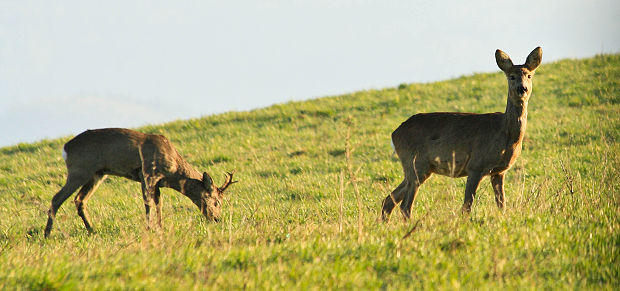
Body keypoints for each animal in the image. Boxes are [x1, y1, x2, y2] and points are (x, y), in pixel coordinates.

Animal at [43, 129, 237, 238]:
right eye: (216, 201)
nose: (216, 218)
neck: (174, 168)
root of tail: (66, 148)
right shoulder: (147, 174)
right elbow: (148, 204)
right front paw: (149, 228)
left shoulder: (158, 183)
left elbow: (159, 204)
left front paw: (160, 228)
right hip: (80, 170)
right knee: (57, 198)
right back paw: (47, 234)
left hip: (97, 174)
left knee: (79, 200)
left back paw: (92, 230)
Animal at [382, 46, 544, 221]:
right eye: (511, 76)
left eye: (529, 75)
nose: (522, 89)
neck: (506, 134)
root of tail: (394, 135)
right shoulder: (475, 165)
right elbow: (467, 205)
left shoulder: (499, 171)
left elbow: (501, 204)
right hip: (416, 163)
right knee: (405, 206)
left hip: (418, 168)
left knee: (388, 200)